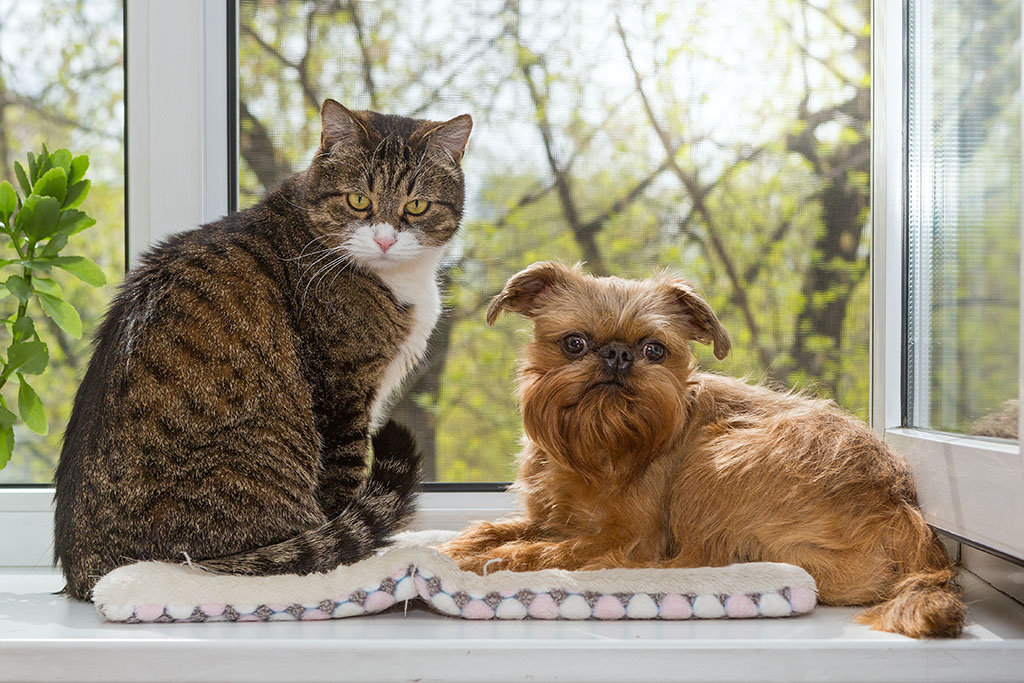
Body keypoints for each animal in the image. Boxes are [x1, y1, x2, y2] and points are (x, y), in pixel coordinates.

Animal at [54, 98, 473, 602]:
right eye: (358, 201)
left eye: (417, 206)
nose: (385, 239)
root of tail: (91, 572)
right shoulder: (343, 391)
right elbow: (343, 484)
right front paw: (356, 563)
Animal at [442, 262, 966, 643]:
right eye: (574, 343)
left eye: (654, 350)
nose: (617, 354)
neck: (600, 445)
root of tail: (902, 506)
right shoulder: (552, 516)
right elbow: (502, 527)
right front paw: (462, 544)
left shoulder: (633, 535)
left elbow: (554, 548)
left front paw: (493, 561)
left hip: (715, 458)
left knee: (691, 563)